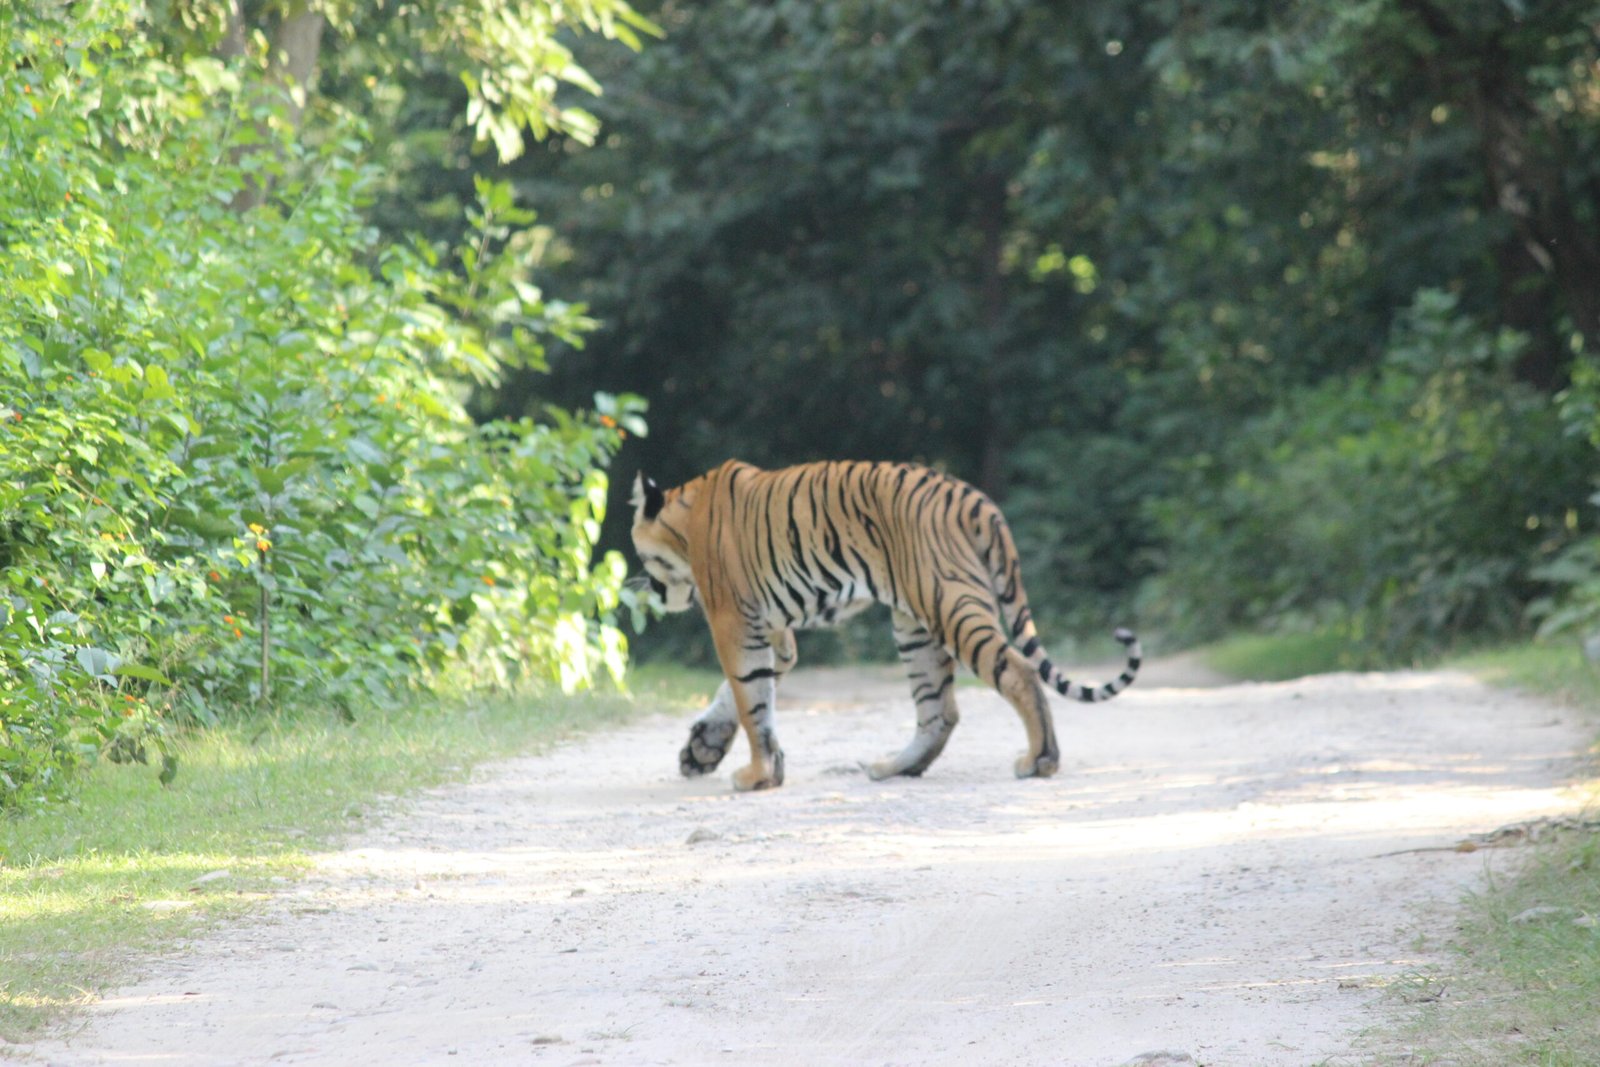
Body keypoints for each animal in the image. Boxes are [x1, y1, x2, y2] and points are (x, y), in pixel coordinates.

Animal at [630, 459, 1141, 792]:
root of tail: (978, 500)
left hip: (948, 603)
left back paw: (1040, 761)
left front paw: (757, 775)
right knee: (941, 710)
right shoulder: (772, 630)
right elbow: (747, 693)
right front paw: (708, 750)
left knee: (1018, 670)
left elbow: (751, 698)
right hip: (913, 625)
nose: (646, 586)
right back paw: (896, 767)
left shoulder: (733, 622)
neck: (684, 518)